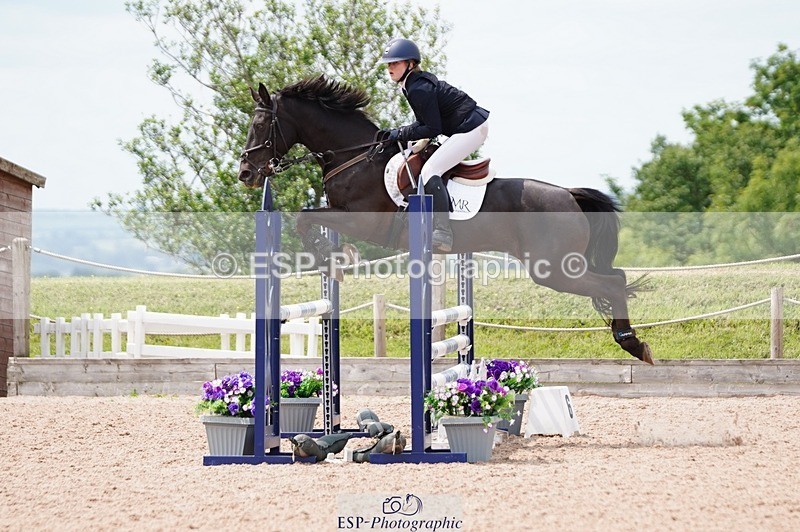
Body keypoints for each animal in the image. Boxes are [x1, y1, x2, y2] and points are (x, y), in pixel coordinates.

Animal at [238, 75, 653, 364]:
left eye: (259, 126)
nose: (246, 173)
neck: (355, 156)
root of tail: (569, 194)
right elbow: (308, 219)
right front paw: (334, 257)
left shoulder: (362, 221)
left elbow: (304, 219)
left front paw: (334, 255)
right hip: (558, 266)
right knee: (617, 277)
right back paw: (632, 341)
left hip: (552, 268)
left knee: (613, 283)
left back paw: (633, 344)